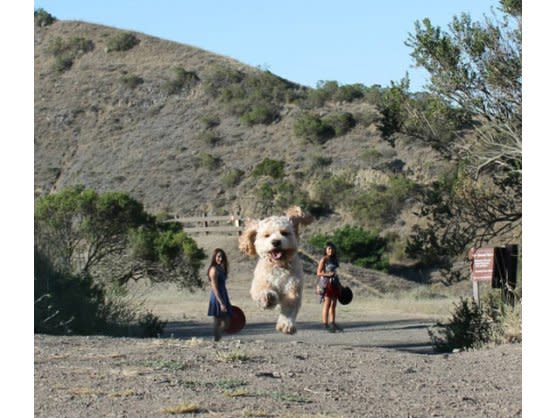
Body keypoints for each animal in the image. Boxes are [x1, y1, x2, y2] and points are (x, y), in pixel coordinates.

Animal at [239, 205, 312, 334]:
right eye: (267, 235)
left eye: (284, 233)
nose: (276, 242)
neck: (278, 265)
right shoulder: (260, 282)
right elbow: (263, 291)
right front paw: (268, 298)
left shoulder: (292, 288)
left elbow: (290, 307)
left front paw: (286, 325)